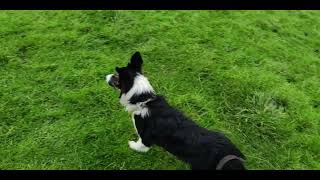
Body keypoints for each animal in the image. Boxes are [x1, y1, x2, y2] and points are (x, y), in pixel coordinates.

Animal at [105, 52, 245, 170]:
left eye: (116, 76)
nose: (105, 76)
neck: (144, 101)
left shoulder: (145, 138)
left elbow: (140, 146)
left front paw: (132, 145)